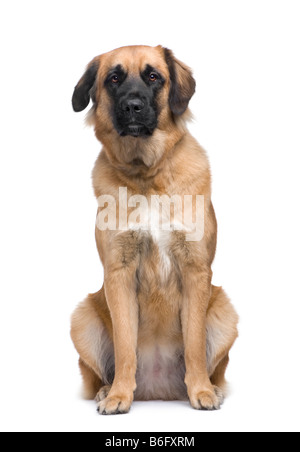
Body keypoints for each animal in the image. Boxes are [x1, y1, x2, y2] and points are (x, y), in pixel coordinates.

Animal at [70, 45, 239, 414]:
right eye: (113, 78)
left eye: (153, 76)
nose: (132, 106)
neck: (147, 175)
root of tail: (157, 389)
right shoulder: (118, 272)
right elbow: (124, 345)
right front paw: (119, 395)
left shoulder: (195, 270)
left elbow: (194, 344)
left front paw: (201, 391)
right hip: (82, 317)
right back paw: (108, 389)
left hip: (224, 311)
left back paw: (209, 387)